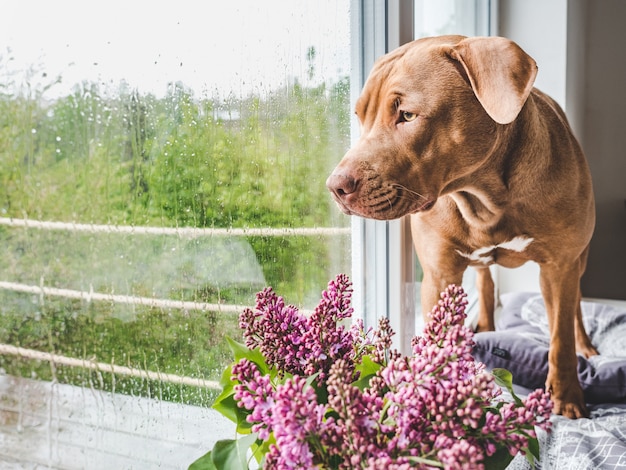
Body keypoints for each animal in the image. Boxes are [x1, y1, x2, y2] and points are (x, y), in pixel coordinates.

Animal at [326, 35, 596, 418]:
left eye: (406, 114)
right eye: (361, 116)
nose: (335, 186)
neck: (486, 196)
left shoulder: (560, 267)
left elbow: (561, 337)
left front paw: (567, 396)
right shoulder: (439, 274)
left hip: (578, 260)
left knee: (574, 310)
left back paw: (585, 345)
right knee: (485, 279)